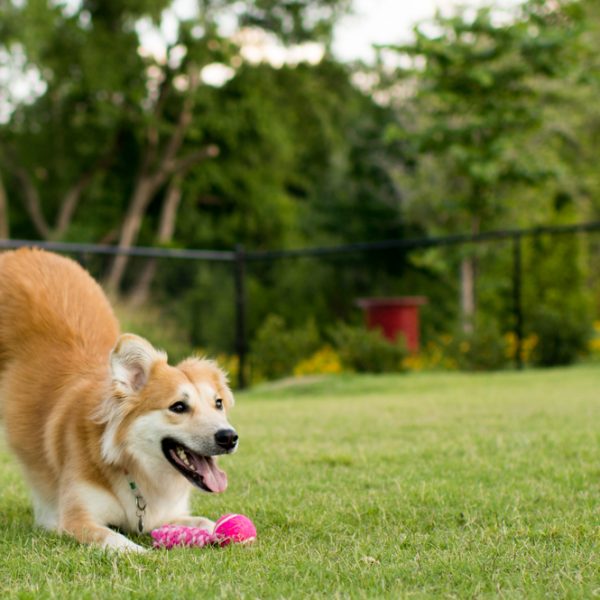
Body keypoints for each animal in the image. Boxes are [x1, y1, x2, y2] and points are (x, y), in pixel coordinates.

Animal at [0, 246, 238, 552]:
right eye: (178, 406)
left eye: (218, 403)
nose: (229, 437)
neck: (131, 464)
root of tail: (23, 251)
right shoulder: (77, 520)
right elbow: (118, 541)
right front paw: (143, 554)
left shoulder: (165, 514)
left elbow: (206, 522)